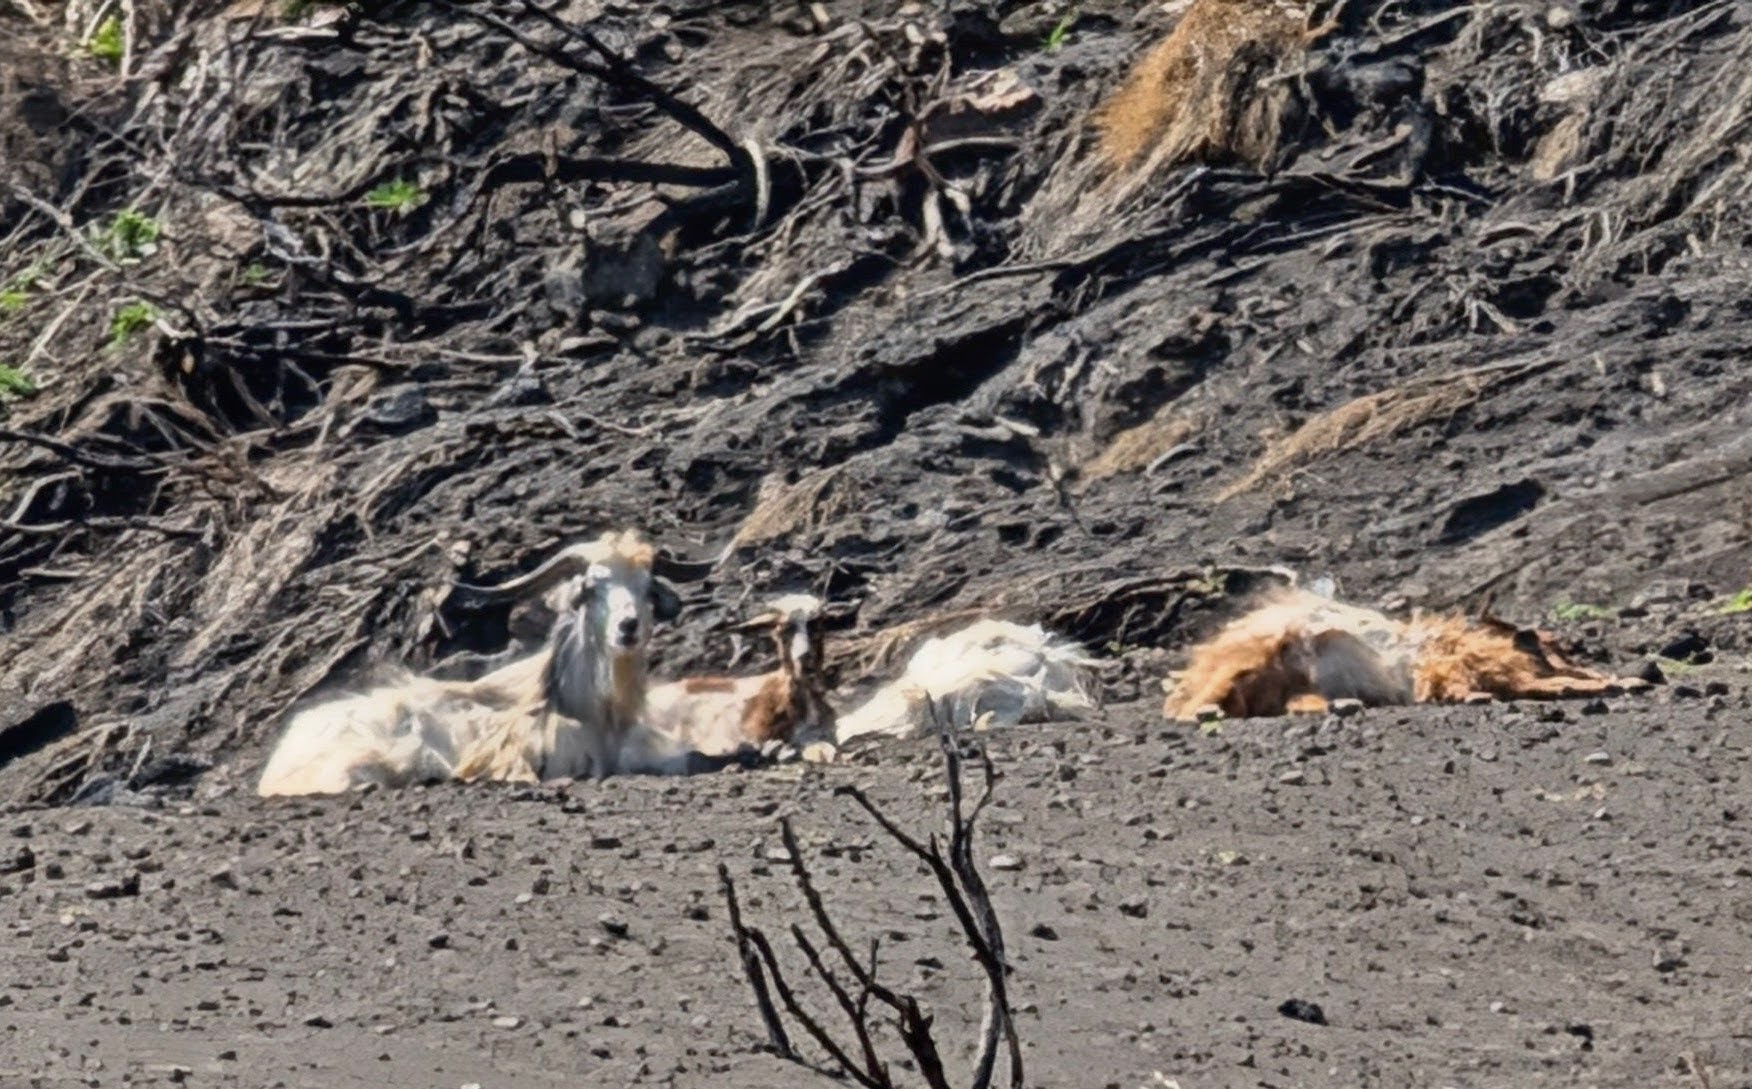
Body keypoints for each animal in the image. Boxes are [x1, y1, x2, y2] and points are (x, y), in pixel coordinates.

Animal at [1162, 587, 1649, 721]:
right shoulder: (1453, 669)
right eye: (1547, 645)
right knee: (1197, 703)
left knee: (1295, 703)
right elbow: (1546, 685)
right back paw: (1201, 711)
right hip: (1251, 661)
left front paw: (1626, 680)